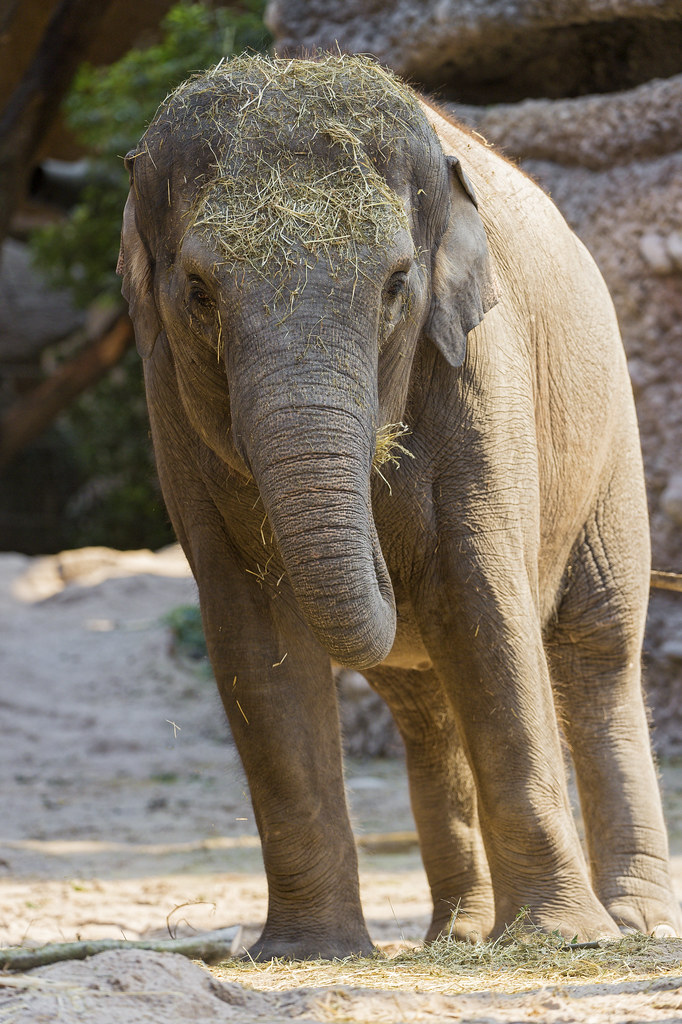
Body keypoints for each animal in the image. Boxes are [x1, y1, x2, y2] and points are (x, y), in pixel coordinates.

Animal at [118, 53, 681, 958]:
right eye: (199, 291)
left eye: (394, 286)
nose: (387, 542)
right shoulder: (168, 399)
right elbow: (249, 630)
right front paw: (306, 952)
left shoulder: (482, 369)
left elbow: (484, 599)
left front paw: (561, 938)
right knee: (424, 706)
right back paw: (457, 936)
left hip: (611, 444)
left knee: (598, 652)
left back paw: (632, 925)